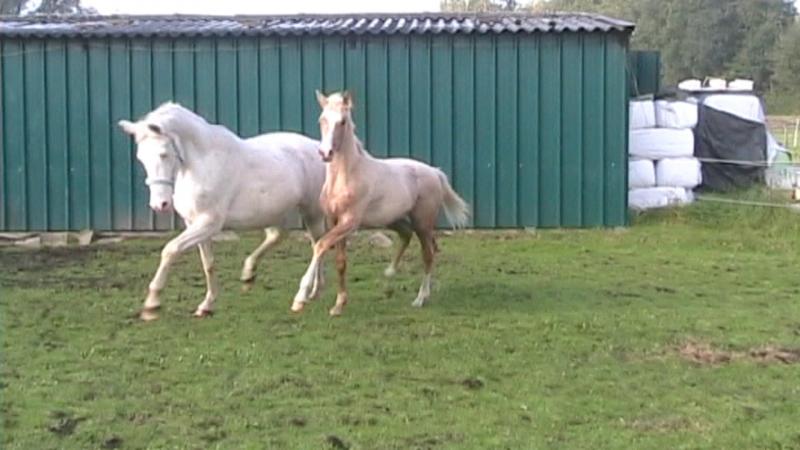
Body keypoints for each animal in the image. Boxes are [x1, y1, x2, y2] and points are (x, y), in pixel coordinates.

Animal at [118, 102, 329, 321]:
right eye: (141, 158)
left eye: (163, 154)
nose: (159, 205)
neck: (203, 163)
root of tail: (317, 147)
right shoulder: (194, 223)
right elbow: (208, 263)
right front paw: (206, 305)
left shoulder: (209, 222)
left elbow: (171, 250)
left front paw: (152, 305)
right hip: (272, 213)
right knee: (280, 236)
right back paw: (255, 275)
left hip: (312, 211)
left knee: (319, 245)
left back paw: (304, 295)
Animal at [290, 91, 470, 316]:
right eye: (322, 120)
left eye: (342, 121)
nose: (325, 153)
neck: (346, 177)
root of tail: (435, 172)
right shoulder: (334, 221)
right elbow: (340, 262)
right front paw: (338, 305)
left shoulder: (349, 222)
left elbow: (320, 245)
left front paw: (300, 299)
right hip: (392, 219)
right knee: (407, 234)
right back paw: (391, 272)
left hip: (423, 222)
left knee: (428, 254)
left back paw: (420, 298)